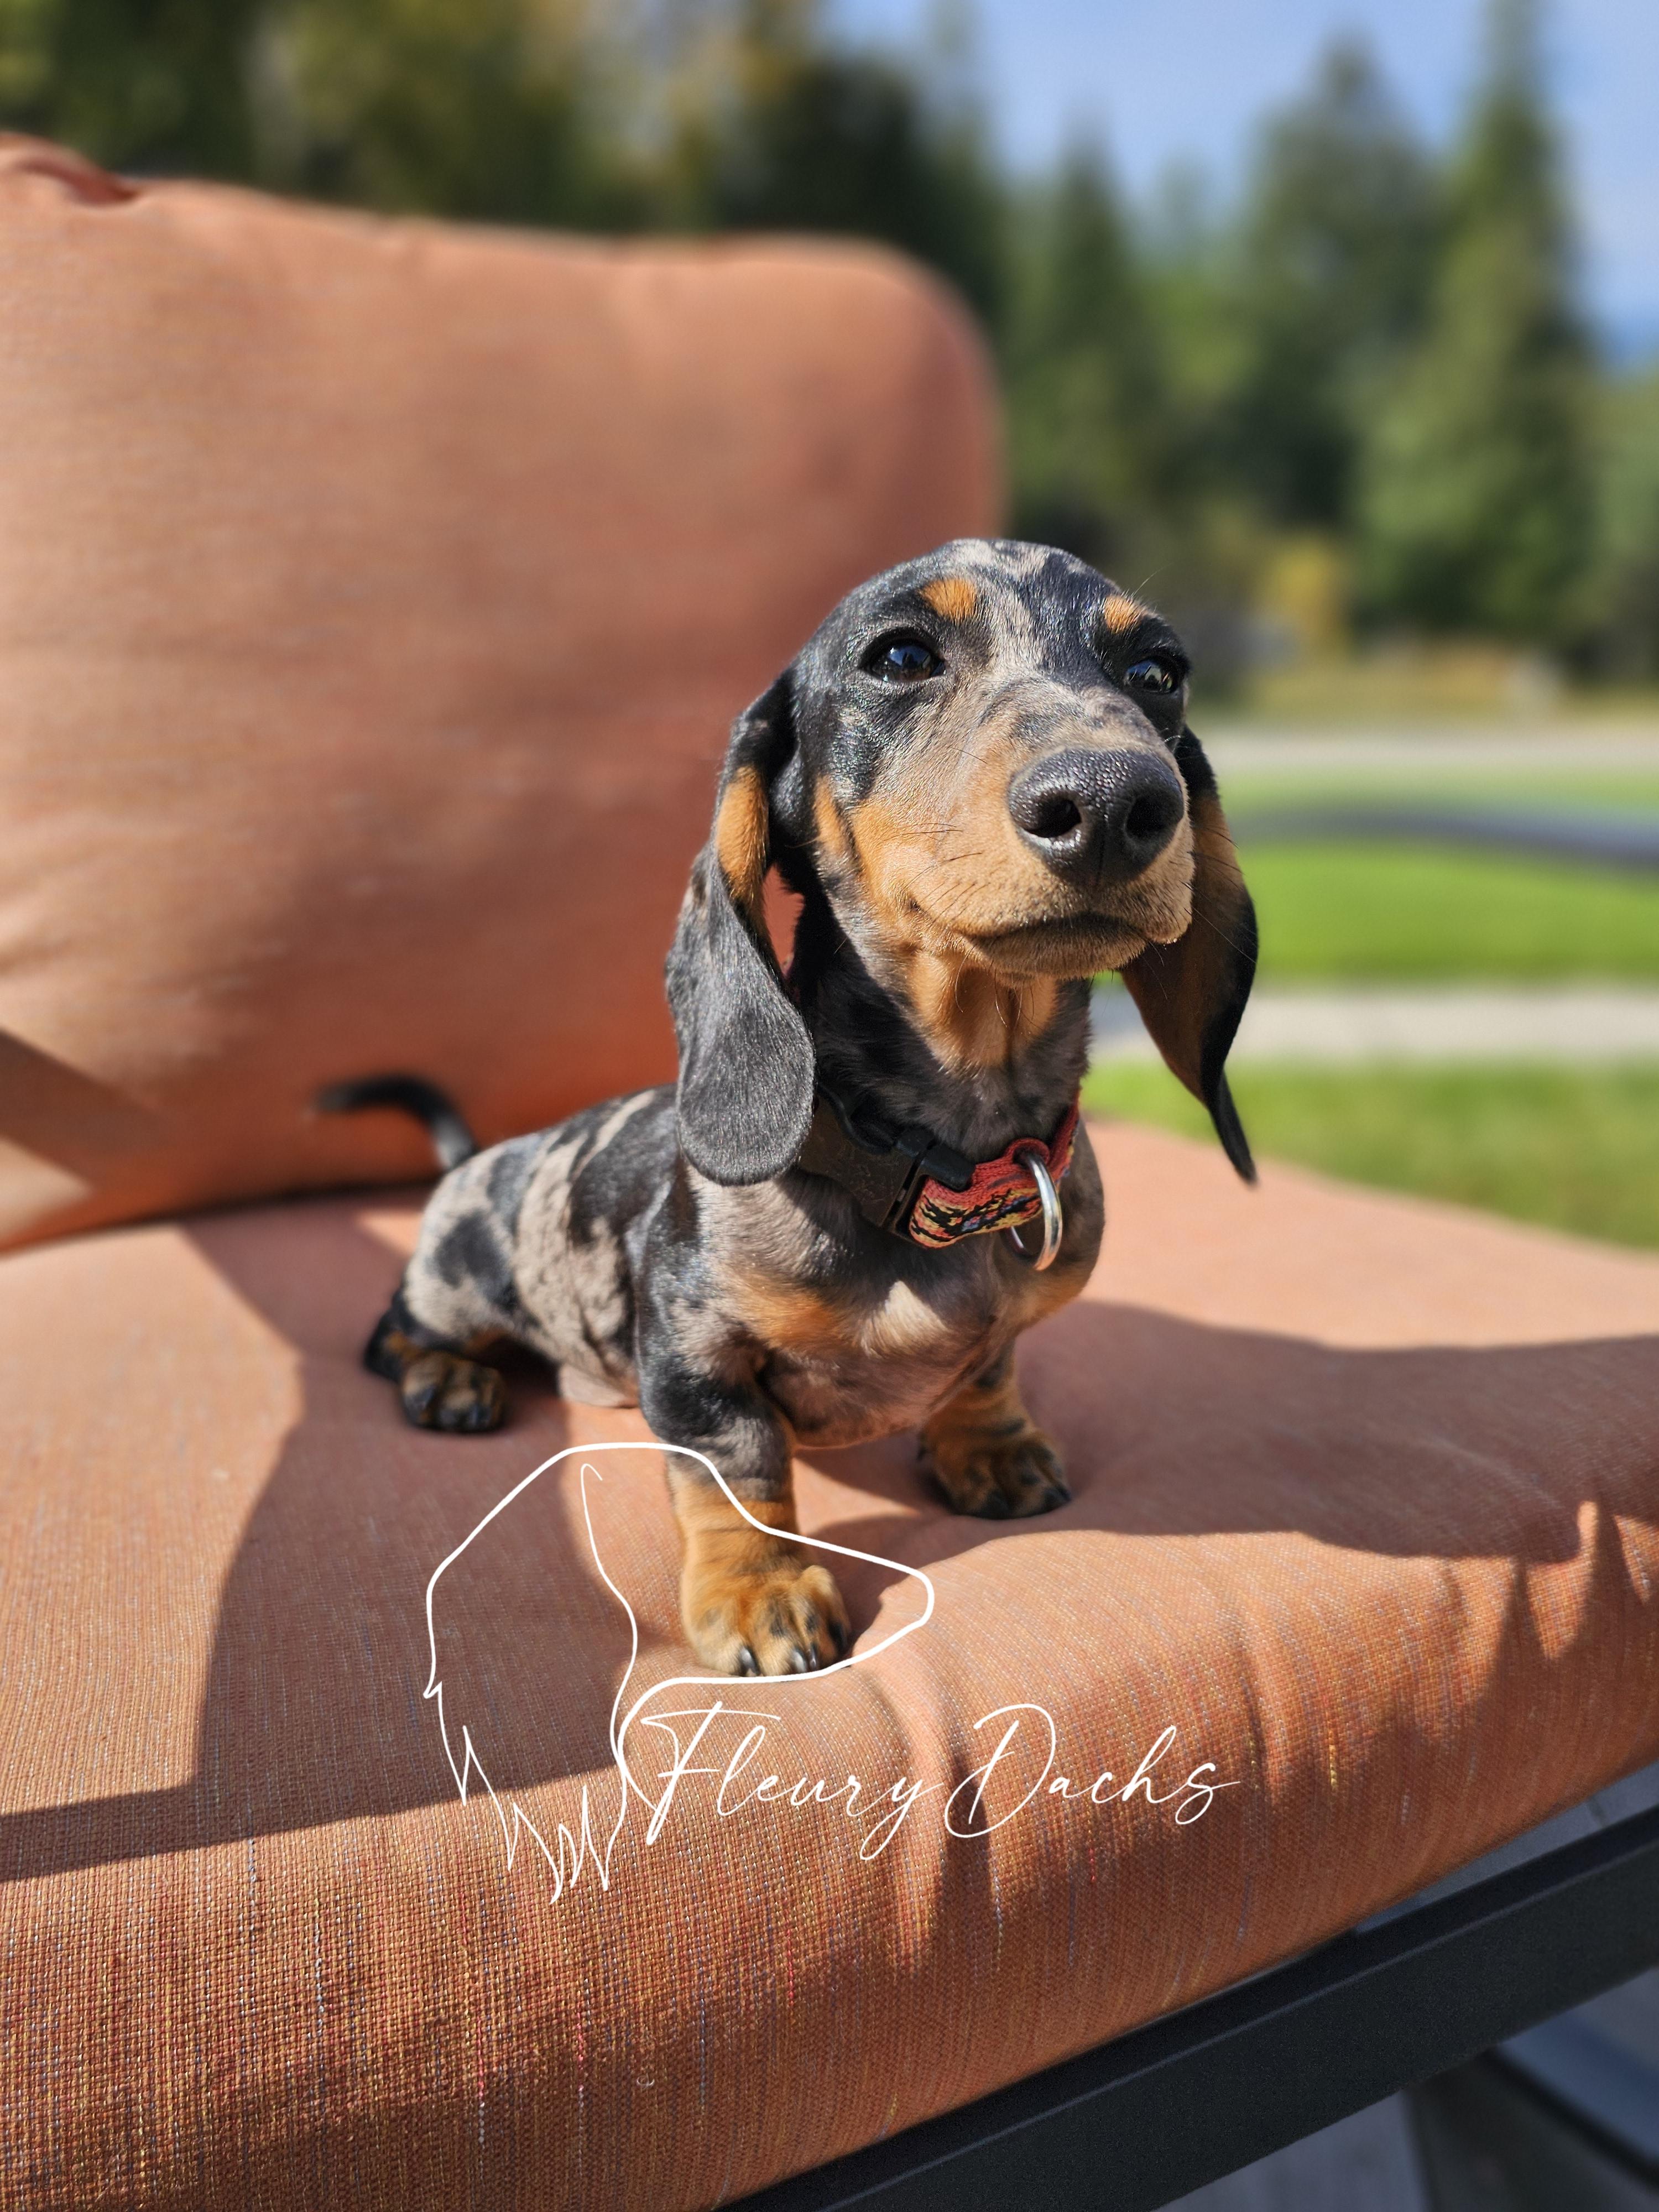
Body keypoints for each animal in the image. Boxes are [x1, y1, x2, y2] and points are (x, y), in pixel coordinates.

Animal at [323, 539, 1257, 1678]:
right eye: (899, 656)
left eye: (1159, 671)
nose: (1116, 802)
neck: (932, 1162)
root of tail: (478, 1157)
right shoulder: (695, 1349)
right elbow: (740, 1466)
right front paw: (762, 1589)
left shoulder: (998, 1325)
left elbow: (989, 1367)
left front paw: (990, 1449)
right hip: (455, 1285)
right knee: (391, 1332)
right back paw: (447, 1380)